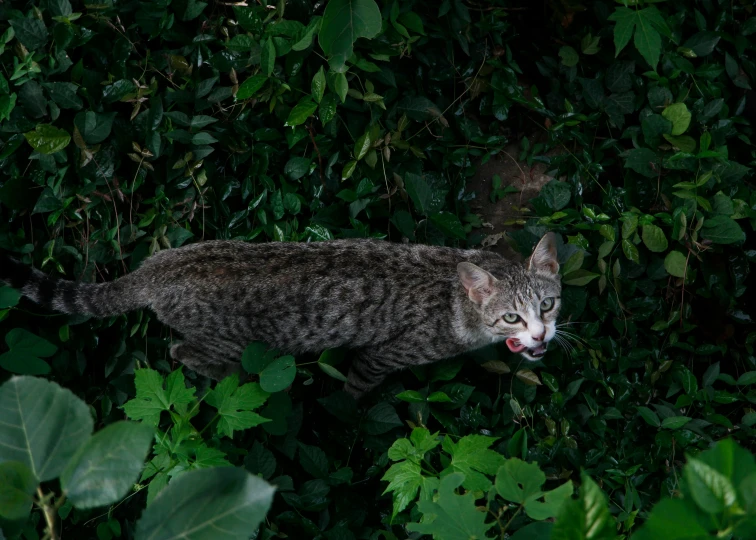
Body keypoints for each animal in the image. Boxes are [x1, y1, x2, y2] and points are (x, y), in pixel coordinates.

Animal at [1, 234, 560, 398]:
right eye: (511, 318)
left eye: (548, 304)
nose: (541, 333)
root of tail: (155, 269)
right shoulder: (382, 356)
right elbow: (356, 390)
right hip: (225, 339)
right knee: (180, 350)